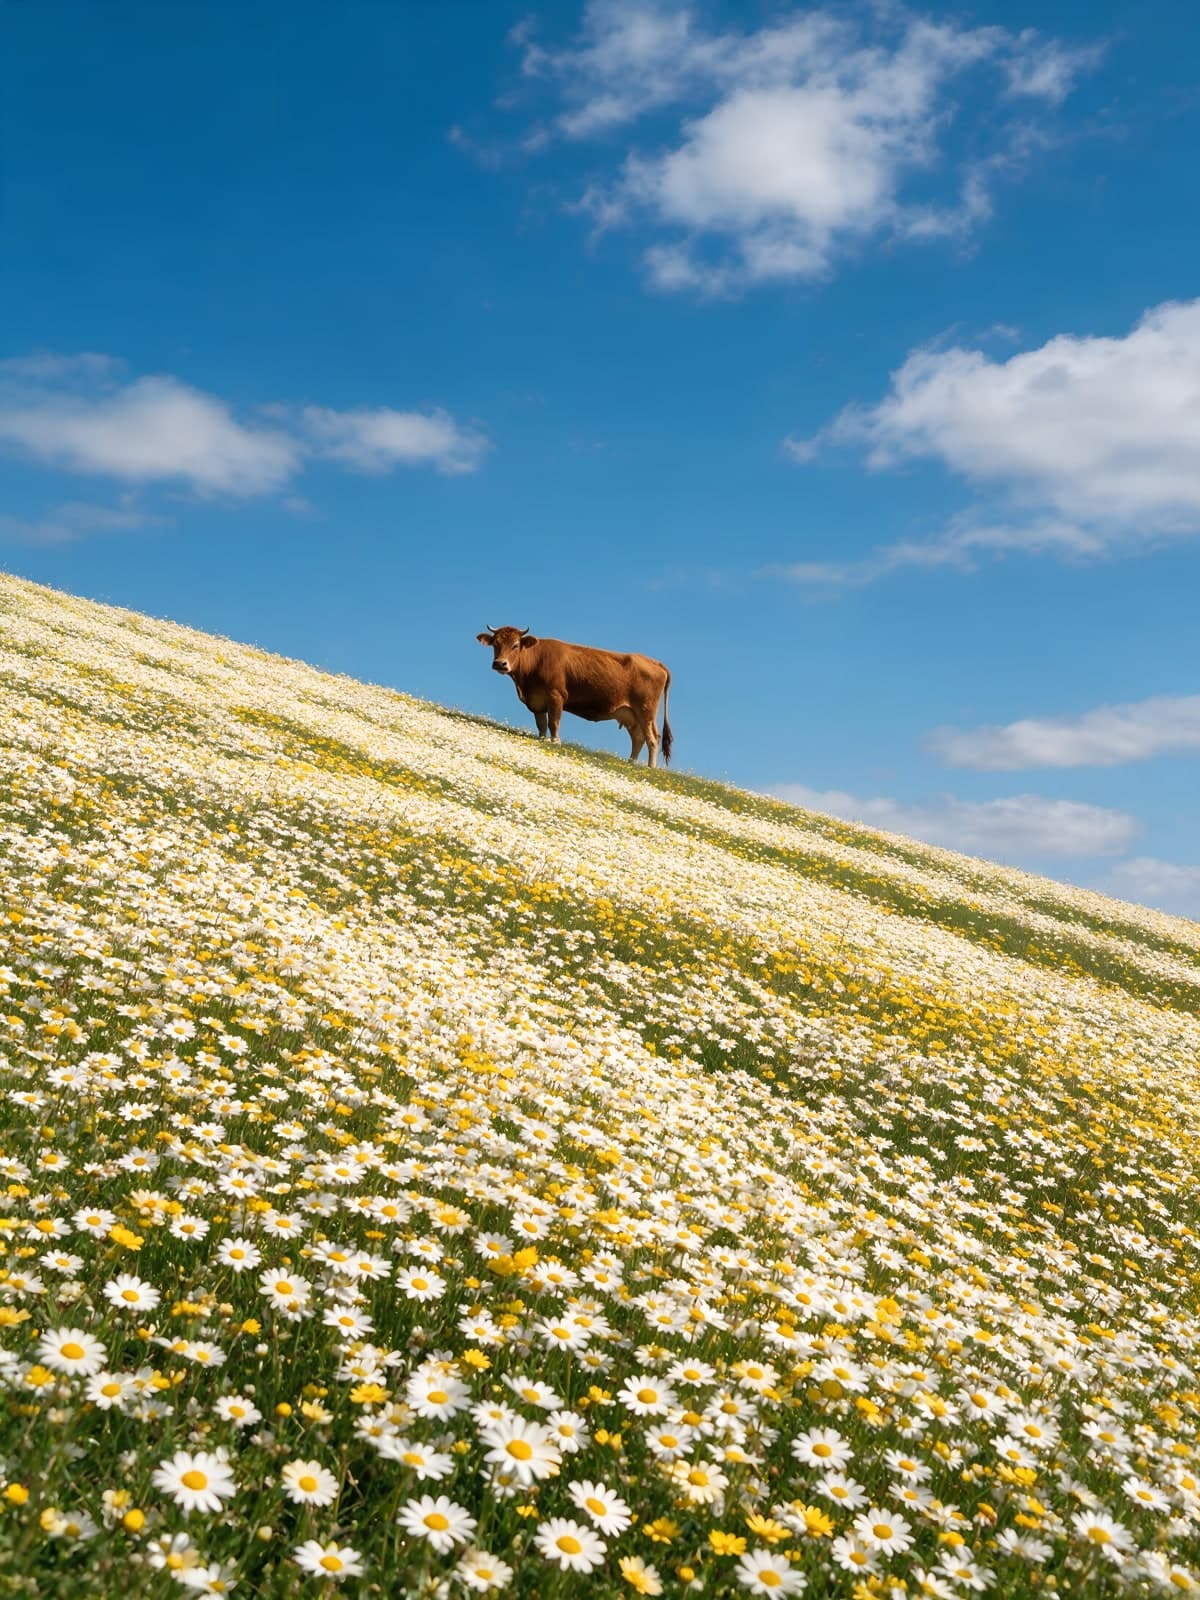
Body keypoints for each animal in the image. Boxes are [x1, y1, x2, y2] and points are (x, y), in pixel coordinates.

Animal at [476, 625, 673, 767]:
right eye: (495, 644)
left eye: (515, 645)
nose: (500, 663)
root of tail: (654, 662)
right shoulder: (537, 701)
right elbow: (541, 724)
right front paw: (542, 739)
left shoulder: (556, 695)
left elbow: (553, 721)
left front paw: (555, 742)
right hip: (631, 714)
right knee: (638, 737)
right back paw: (631, 762)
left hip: (646, 711)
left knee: (653, 738)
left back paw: (650, 767)